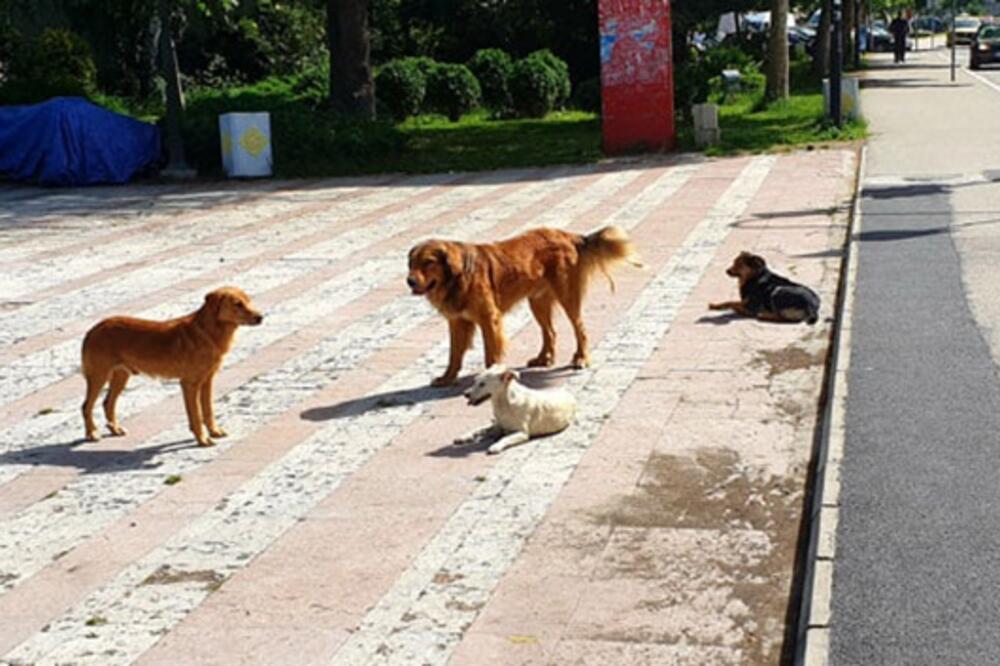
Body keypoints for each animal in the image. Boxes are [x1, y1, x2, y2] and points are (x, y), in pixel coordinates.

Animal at [80, 286, 264, 446]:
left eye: (248, 300)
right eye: (237, 304)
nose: (261, 317)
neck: (208, 333)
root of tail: (93, 329)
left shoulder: (207, 380)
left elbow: (208, 410)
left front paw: (214, 431)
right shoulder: (189, 383)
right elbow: (196, 414)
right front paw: (202, 439)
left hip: (121, 375)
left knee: (107, 403)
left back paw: (115, 429)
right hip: (99, 376)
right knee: (86, 406)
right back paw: (92, 433)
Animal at [410, 226, 644, 386]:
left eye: (428, 262)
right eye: (411, 264)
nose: (409, 281)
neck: (458, 277)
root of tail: (569, 236)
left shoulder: (489, 319)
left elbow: (490, 354)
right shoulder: (457, 322)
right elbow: (454, 354)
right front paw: (447, 378)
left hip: (567, 297)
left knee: (580, 330)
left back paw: (581, 358)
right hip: (537, 302)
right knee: (550, 332)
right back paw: (544, 358)